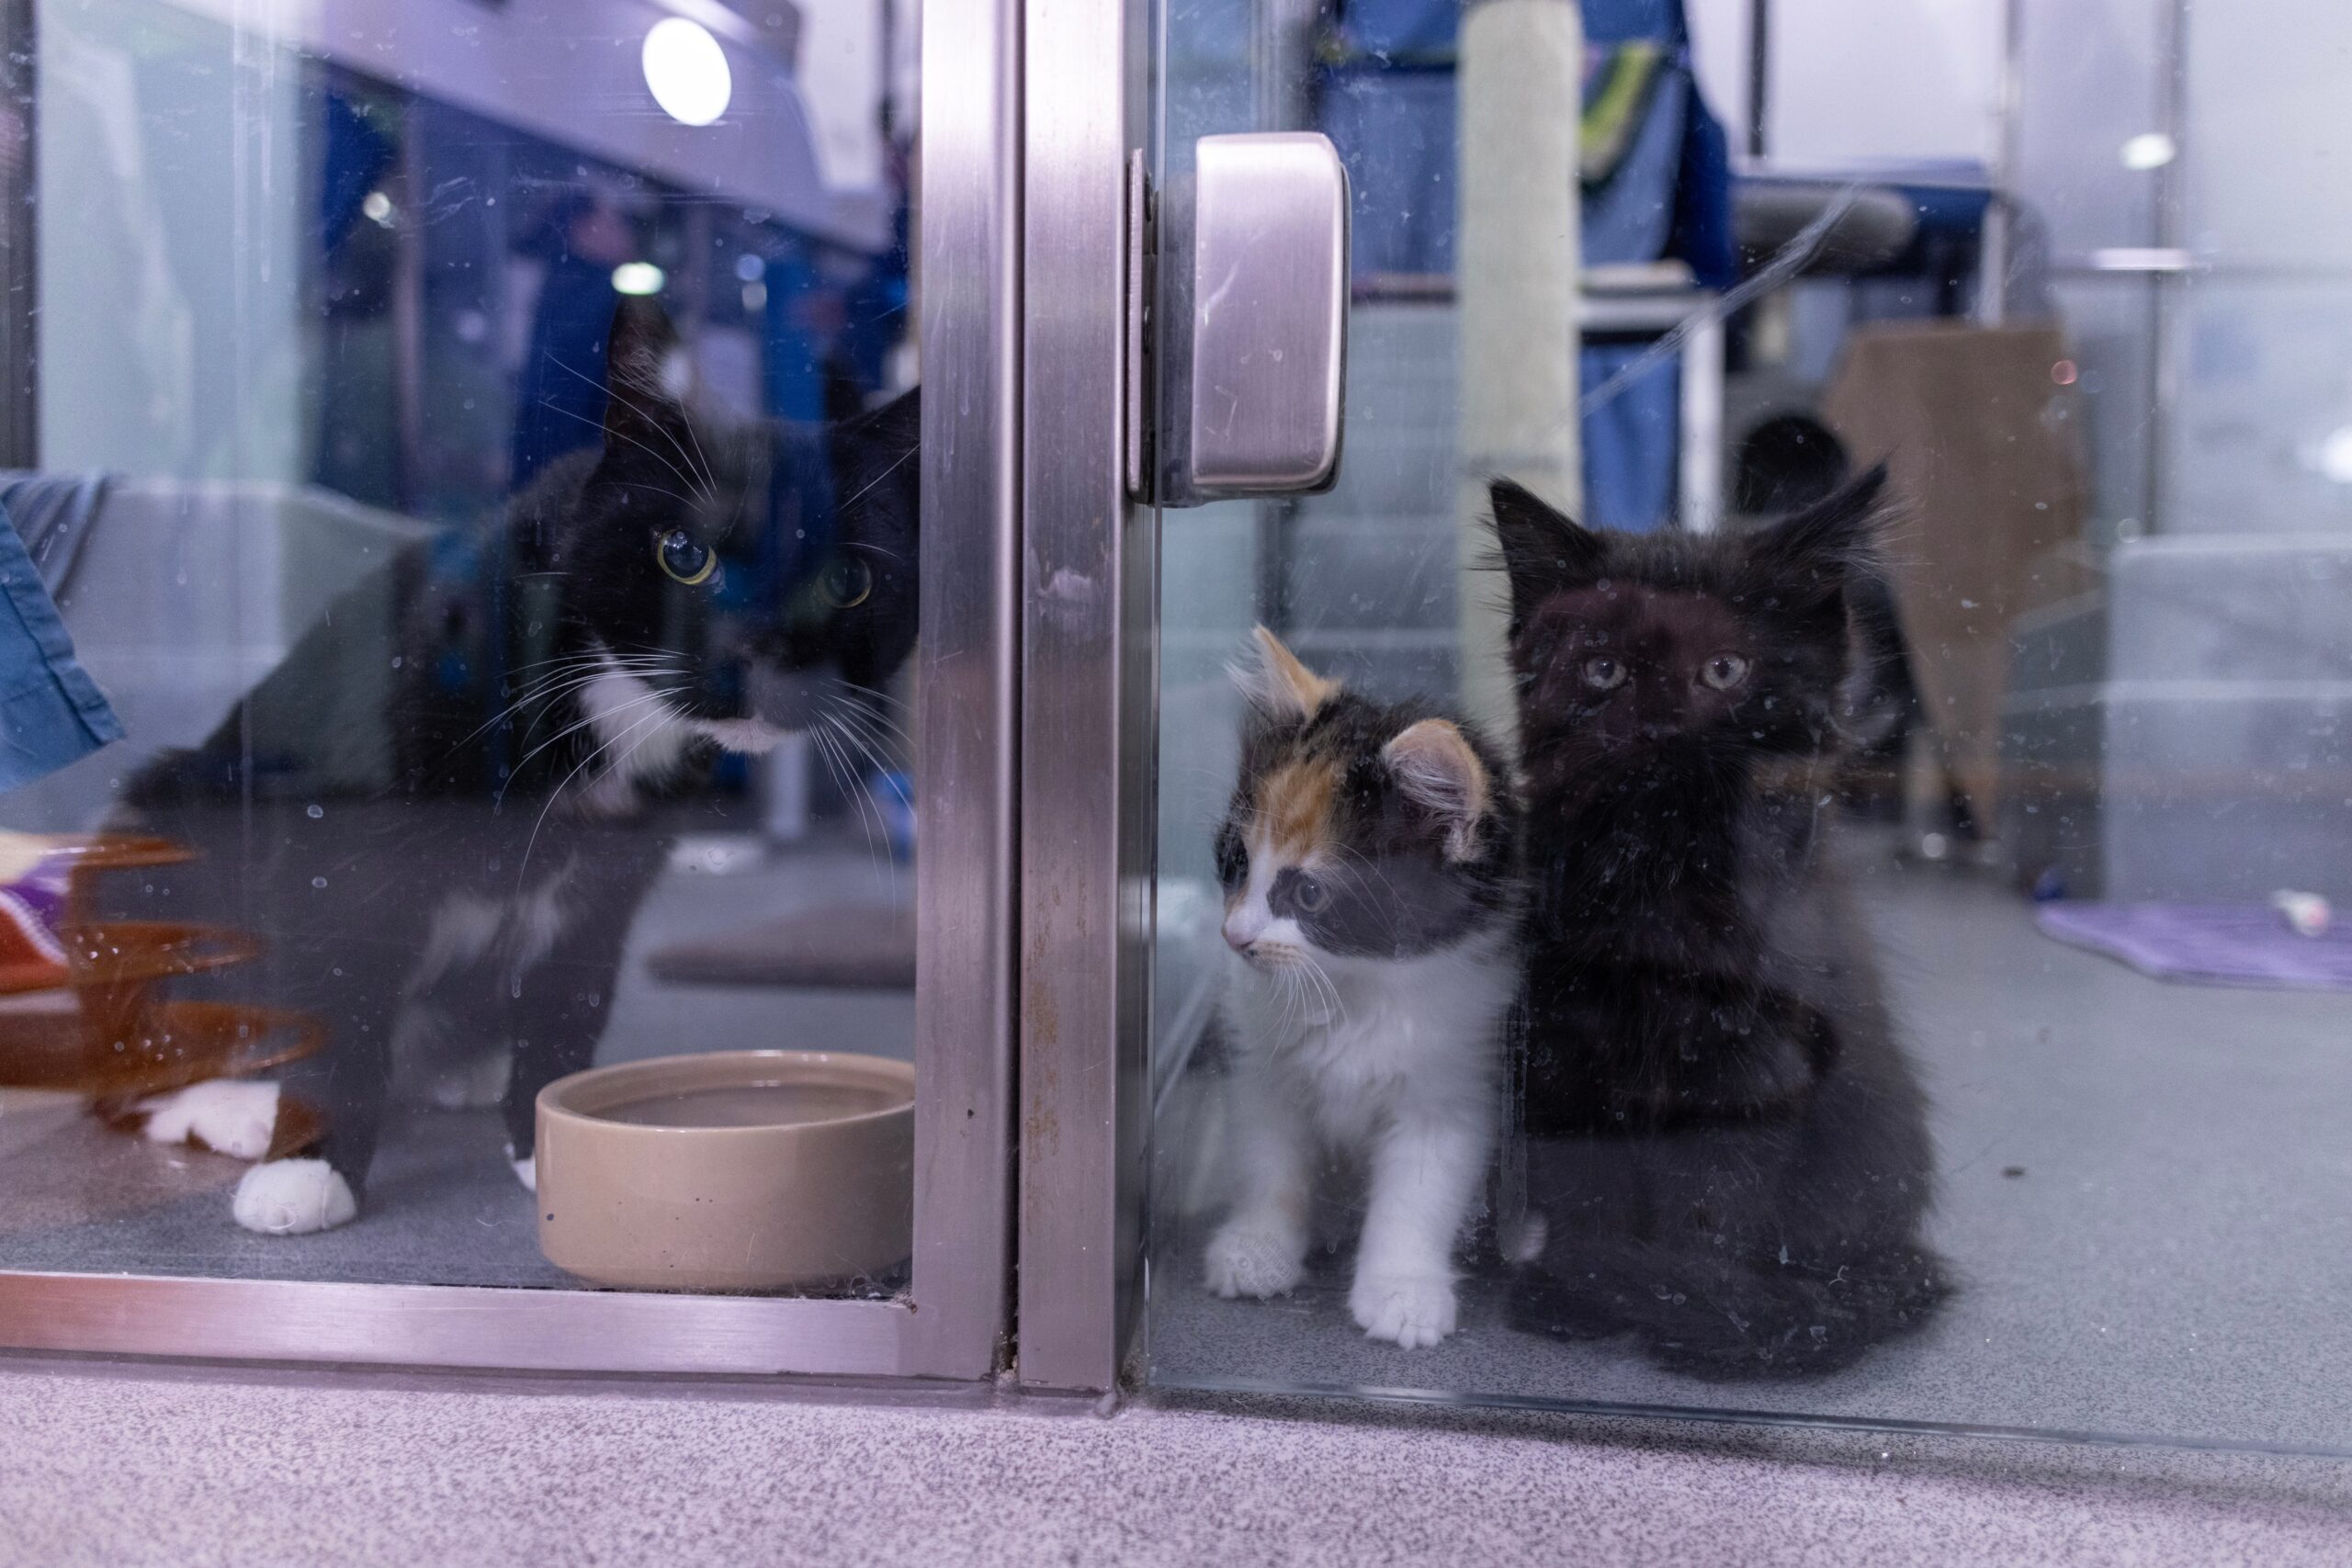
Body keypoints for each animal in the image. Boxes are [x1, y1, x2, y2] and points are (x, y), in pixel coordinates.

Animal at [114, 303, 917, 1241]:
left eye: (847, 578)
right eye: (684, 553)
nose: (765, 655)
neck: (607, 699)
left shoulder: (608, 877)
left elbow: (572, 992)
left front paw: (547, 1132)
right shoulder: (338, 841)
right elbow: (339, 981)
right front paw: (306, 1167)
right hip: (170, 814)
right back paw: (232, 1103)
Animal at [1204, 629, 1514, 1354]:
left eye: (1310, 894)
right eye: (1234, 857)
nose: (1235, 935)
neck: (1353, 987)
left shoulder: (1452, 1087)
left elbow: (1417, 1196)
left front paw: (1403, 1289)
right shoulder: (1259, 1066)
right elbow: (1268, 1158)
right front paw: (1259, 1245)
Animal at [1486, 472, 1947, 1382]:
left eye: (1724, 669)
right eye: (1603, 670)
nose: (1660, 729)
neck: (1660, 887)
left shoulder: (1755, 1061)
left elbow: (1714, 1197)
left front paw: (1693, 1300)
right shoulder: (1556, 1043)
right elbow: (1584, 1184)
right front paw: (1578, 1289)